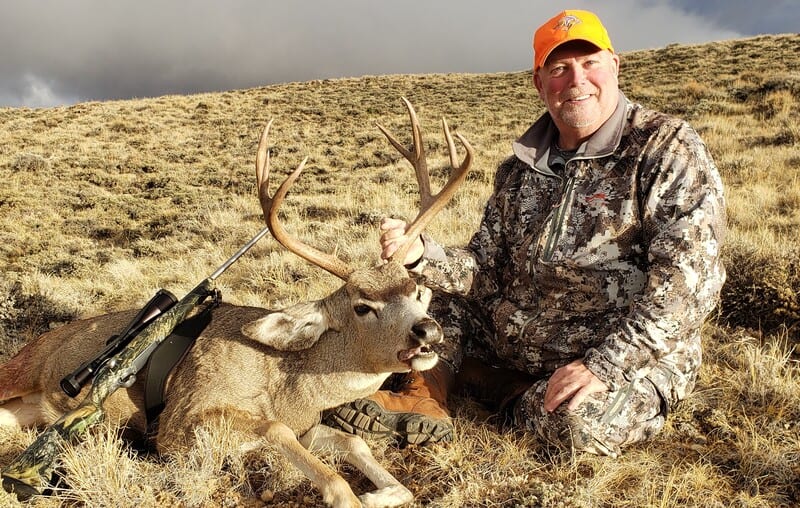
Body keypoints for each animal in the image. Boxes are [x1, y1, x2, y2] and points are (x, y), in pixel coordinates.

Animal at [0, 98, 473, 508]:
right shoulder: (181, 420)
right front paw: (352, 496)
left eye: (415, 291)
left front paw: (379, 493)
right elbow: (290, 442)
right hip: (17, 372)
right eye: (361, 306)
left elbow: (356, 442)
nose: (428, 329)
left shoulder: (307, 424)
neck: (284, 385)